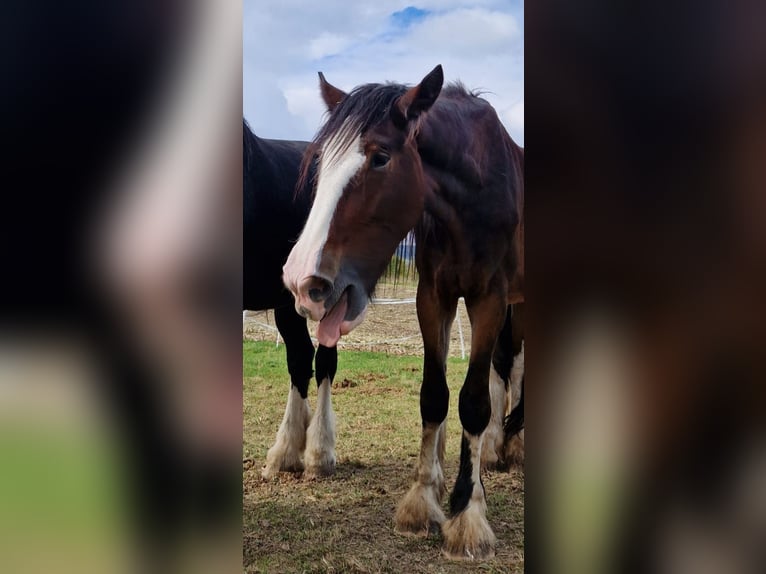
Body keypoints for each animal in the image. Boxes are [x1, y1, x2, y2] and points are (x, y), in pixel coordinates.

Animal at [281, 66, 524, 560]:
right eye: (321, 163)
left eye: (379, 158)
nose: (300, 280)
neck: (475, 193)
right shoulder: (432, 297)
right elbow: (434, 395)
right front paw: (424, 498)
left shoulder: (489, 298)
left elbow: (473, 401)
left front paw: (467, 516)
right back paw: (491, 450)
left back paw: (511, 448)